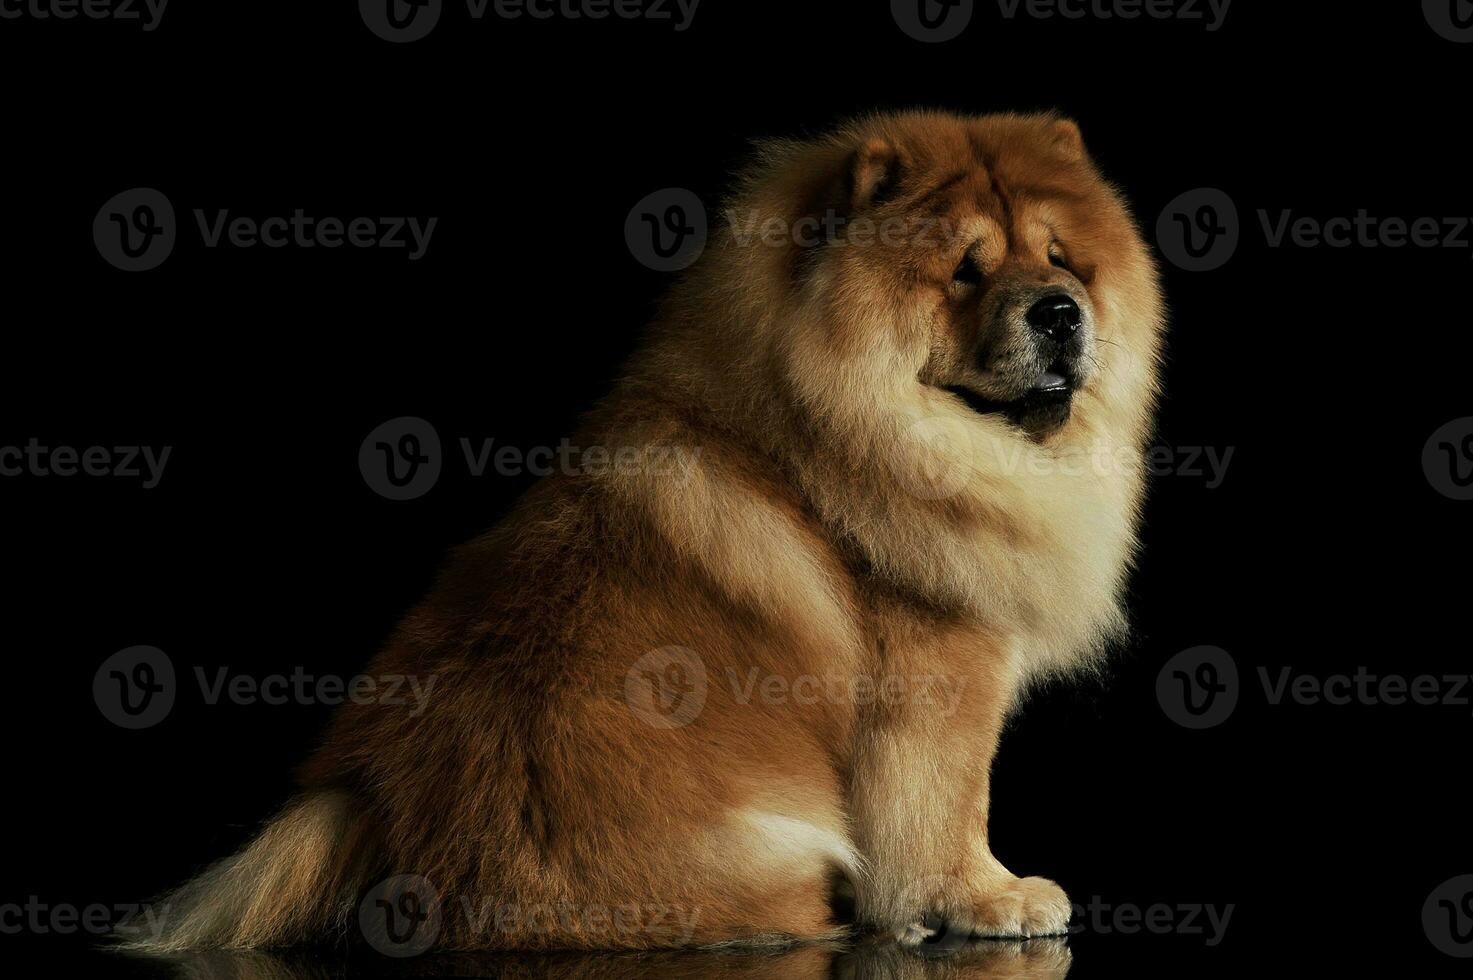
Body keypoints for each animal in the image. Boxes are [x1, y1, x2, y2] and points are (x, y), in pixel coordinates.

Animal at [129, 110, 1160, 949]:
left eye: (1061, 259)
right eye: (963, 273)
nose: (1059, 312)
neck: (832, 431)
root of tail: (385, 816)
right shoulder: (936, 671)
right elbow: (943, 805)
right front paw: (987, 898)